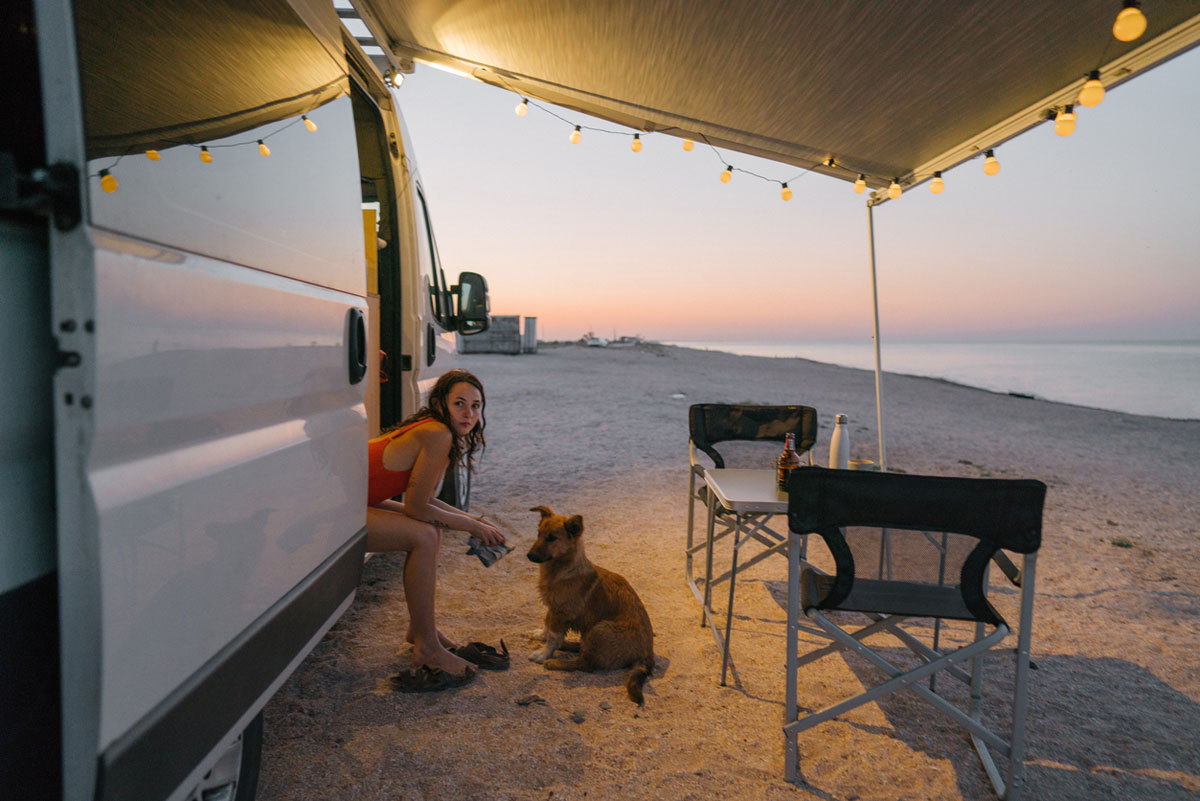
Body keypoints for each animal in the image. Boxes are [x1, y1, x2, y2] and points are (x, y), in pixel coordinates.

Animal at [528, 503, 657, 705]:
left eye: (551, 538)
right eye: (538, 533)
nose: (529, 555)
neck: (564, 568)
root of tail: (647, 656)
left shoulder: (561, 612)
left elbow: (554, 636)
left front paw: (543, 654)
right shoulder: (553, 608)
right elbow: (547, 625)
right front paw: (542, 636)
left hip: (600, 629)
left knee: (586, 664)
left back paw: (556, 662)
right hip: (592, 631)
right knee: (582, 650)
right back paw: (567, 645)